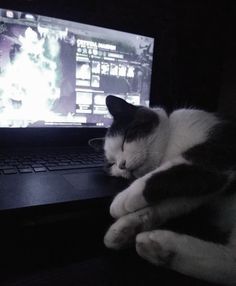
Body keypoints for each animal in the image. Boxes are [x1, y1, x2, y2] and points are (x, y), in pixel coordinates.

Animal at [103, 95, 236, 284]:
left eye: (125, 140)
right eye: (112, 163)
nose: (122, 166)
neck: (170, 147)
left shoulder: (219, 151)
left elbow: (171, 171)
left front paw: (123, 199)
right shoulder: (201, 187)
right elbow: (175, 203)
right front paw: (129, 226)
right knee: (230, 263)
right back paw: (160, 249)